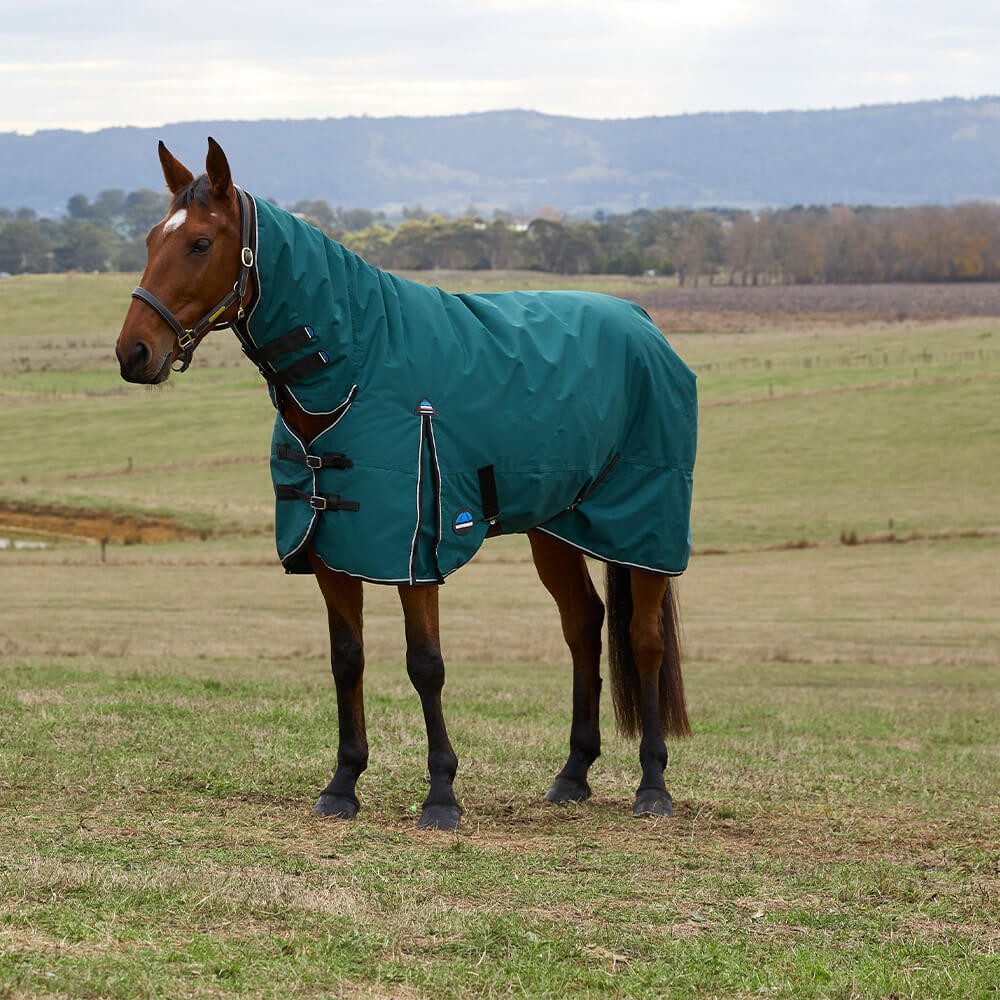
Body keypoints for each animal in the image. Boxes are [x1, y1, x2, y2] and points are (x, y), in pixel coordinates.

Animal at [115, 138, 696, 831]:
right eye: (152, 238)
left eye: (200, 243)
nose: (132, 353)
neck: (356, 368)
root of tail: (643, 321)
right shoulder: (334, 546)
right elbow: (347, 659)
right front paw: (343, 784)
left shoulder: (416, 552)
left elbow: (426, 665)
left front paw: (441, 794)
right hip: (555, 527)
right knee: (584, 626)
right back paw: (572, 774)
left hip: (643, 528)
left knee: (644, 640)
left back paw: (653, 785)